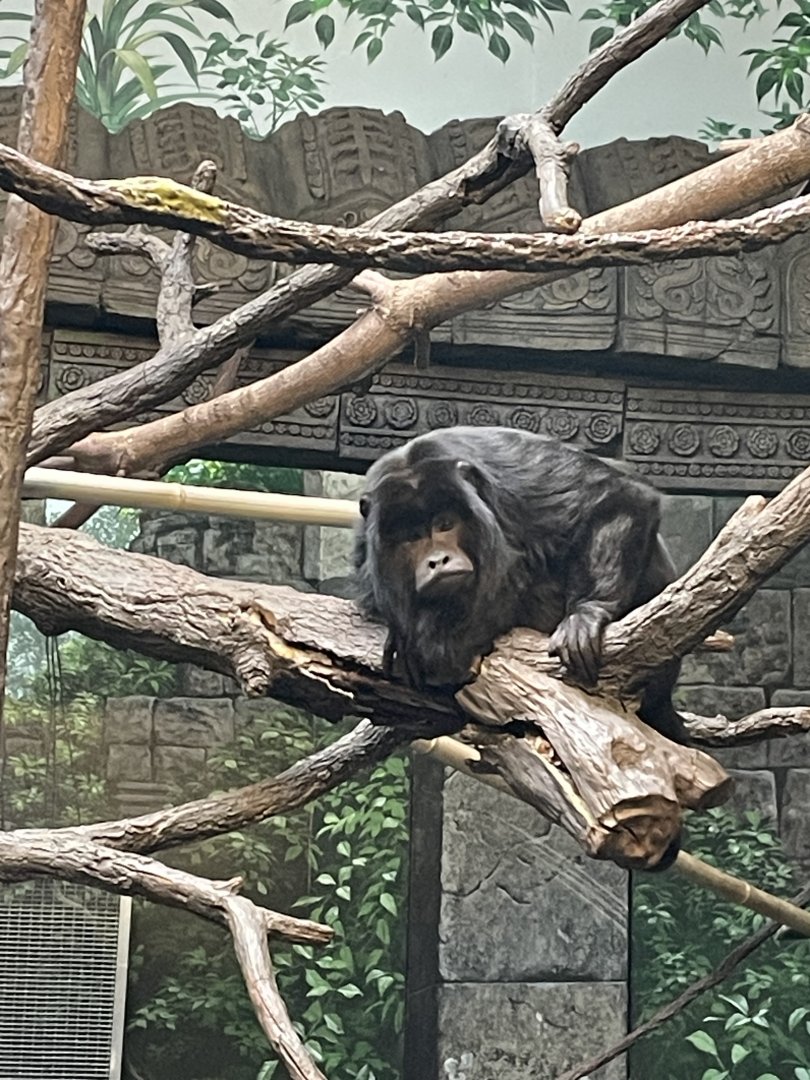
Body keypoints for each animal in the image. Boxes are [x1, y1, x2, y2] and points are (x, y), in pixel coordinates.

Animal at [353, 425, 685, 744]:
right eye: (411, 536)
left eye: (445, 524)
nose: (438, 560)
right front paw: (401, 637)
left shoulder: (517, 482)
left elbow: (621, 497)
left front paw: (587, 613)